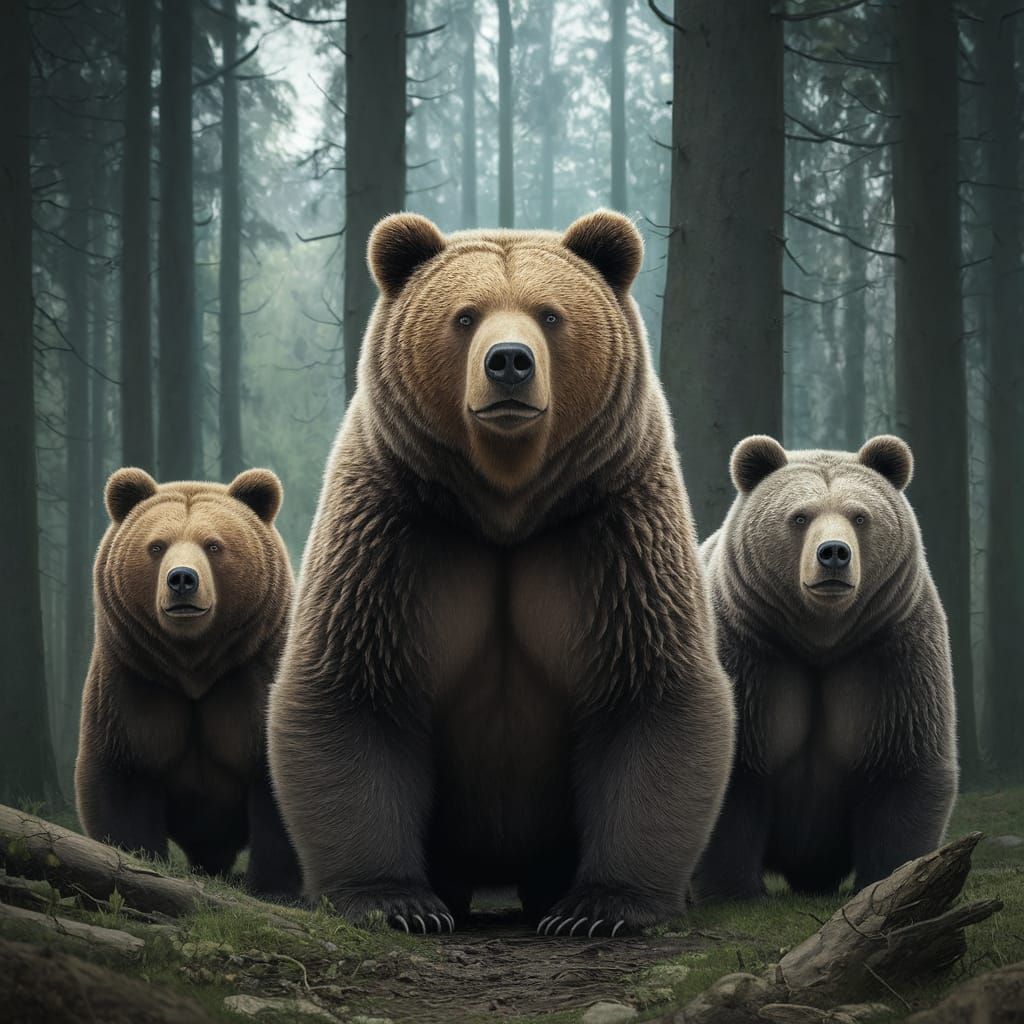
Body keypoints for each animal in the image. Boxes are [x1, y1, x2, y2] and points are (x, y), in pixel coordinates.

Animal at [75, 467, 301, 897]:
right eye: (156, 546)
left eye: (213, 545)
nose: (182, 579)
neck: (194, 666)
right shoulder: (136, 682)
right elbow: (123, 778)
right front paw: (135, 863)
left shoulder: (253, 679)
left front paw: (273, 887)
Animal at [267, 210, 735, 936]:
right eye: (465, 315)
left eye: (550, 314)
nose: (509, 362)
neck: (506, 504)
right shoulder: (396, 533)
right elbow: (355, 690)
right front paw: (396, 901)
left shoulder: (611, 532)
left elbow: (650, 693)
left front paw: (600, 908)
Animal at [694, 434, 958, 900]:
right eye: (800, 516)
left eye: (860, 515)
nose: (833, 553)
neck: (820, 637)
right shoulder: (748, 655)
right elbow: (734, 771)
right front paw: (731, 889)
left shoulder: (889, 654)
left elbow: (904, 765)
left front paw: (894, 877)